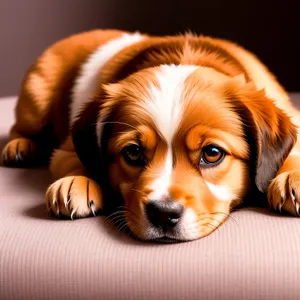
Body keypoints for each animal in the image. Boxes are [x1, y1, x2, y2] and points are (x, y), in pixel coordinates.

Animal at [2, 29, 300, 241]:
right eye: (133, 152)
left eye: (212, 153)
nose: (164, 214)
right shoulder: (65, 149)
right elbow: (77, 160)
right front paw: (75, 182)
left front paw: (293, 177)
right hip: (36, 99)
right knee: (21, 127)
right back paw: (20, 148)